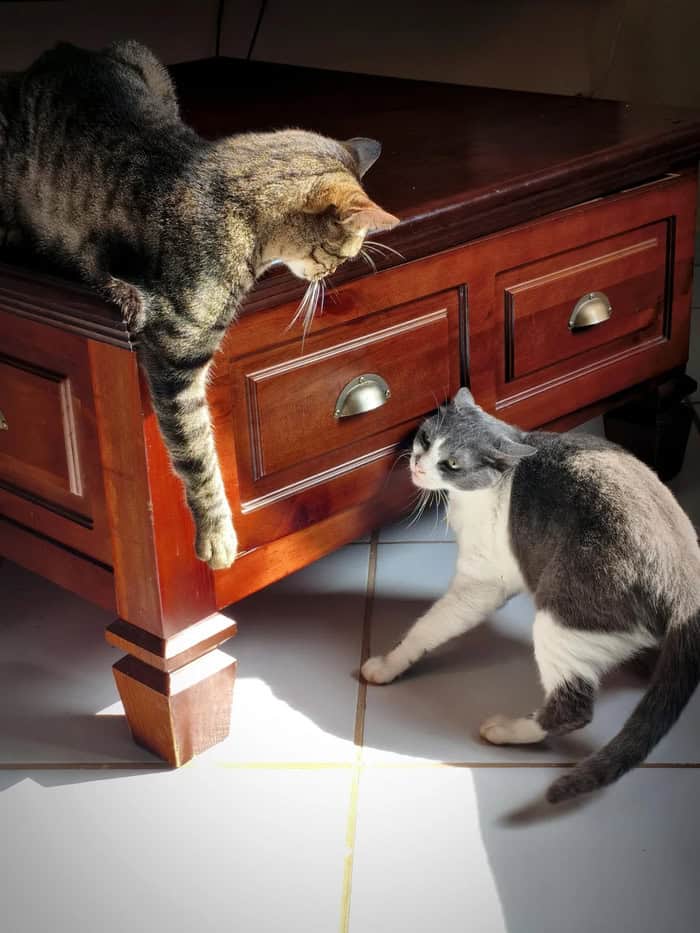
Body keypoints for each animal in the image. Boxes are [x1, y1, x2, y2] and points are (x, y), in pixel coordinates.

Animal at [362, 387, 700, 802]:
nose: (419, 467)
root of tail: (685, 583)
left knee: (574, 709)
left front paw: (386, 664)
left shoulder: (482, 582)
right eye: (425, 439)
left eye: (452, 463)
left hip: (561, 615)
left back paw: (506, 730)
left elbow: (426, 628)